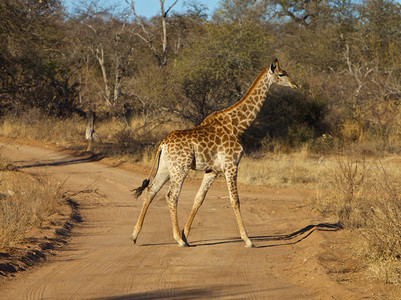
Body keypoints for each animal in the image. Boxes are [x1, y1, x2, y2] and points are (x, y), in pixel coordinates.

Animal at [130, 59, 296, 248]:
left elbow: (199, 198)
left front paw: (186, 234)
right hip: (180, 168)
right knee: (171, 196)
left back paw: (135, 235)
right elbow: (234, 200)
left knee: (151, 190)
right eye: (282, 74)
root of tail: (162, 145)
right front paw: (247, 240)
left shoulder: (213, 170)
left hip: (166, 168)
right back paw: (177, 240)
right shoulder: (231, 165)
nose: (295, 85)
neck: (238, 125)